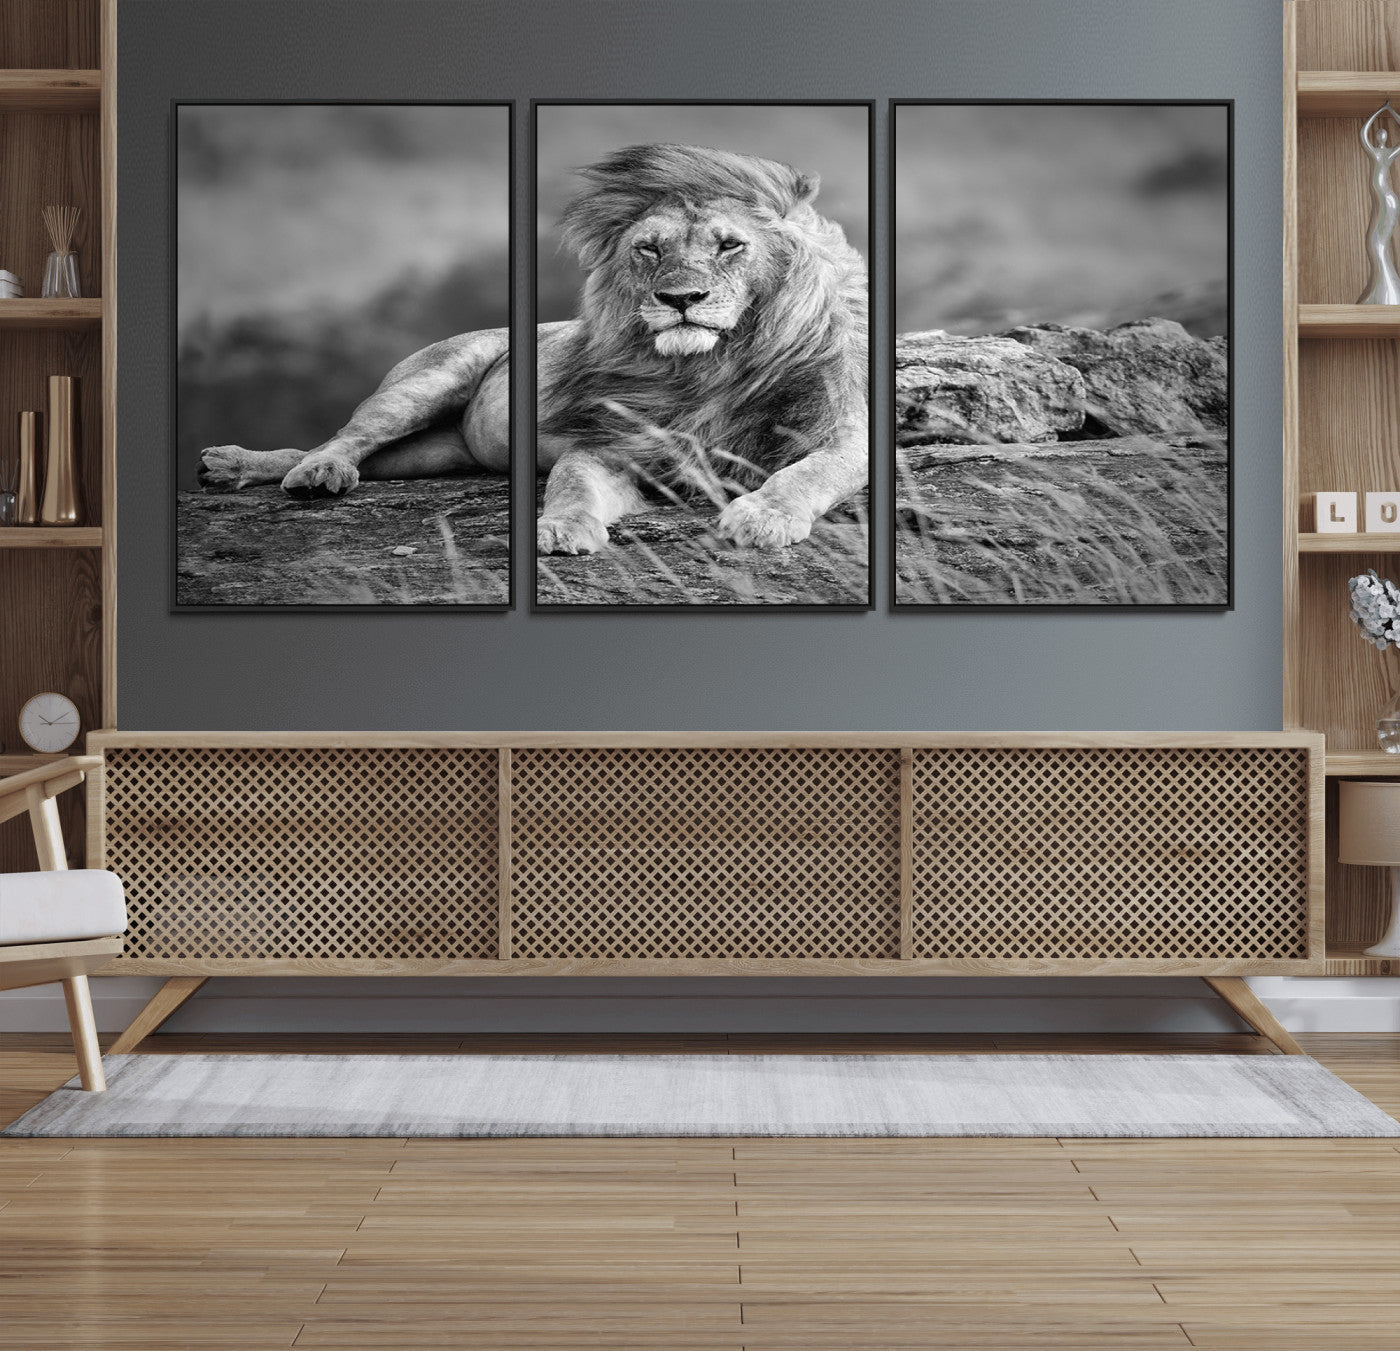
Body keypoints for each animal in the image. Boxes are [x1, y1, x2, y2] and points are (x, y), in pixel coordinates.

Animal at [197, 142, 869, 554]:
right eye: (649, 249)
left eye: (731, 245)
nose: (681, 298)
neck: (710, 367)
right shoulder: (612, 445)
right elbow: (570, 480)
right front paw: (560, 530)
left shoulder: (845, 434)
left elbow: (809, 471)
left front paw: (761, 516)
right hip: (426, 383)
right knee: (341, 438)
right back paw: (297, 471)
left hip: (433, 454)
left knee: (339, 451)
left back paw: (238, 466)